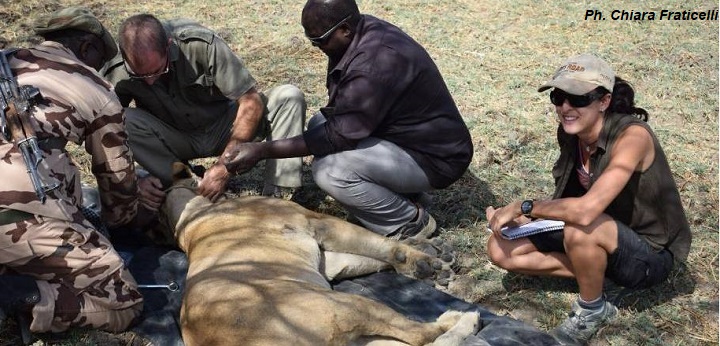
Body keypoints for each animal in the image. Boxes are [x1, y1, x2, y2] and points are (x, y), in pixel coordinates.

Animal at [158, 166, 480, 346]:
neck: (188, 219)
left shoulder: (331, 260)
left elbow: (373, 254)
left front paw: (429, 252)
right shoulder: (318, 222)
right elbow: (379, 245)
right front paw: (424, 262)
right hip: (350, 305)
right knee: (423, 335)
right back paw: (463, 319)